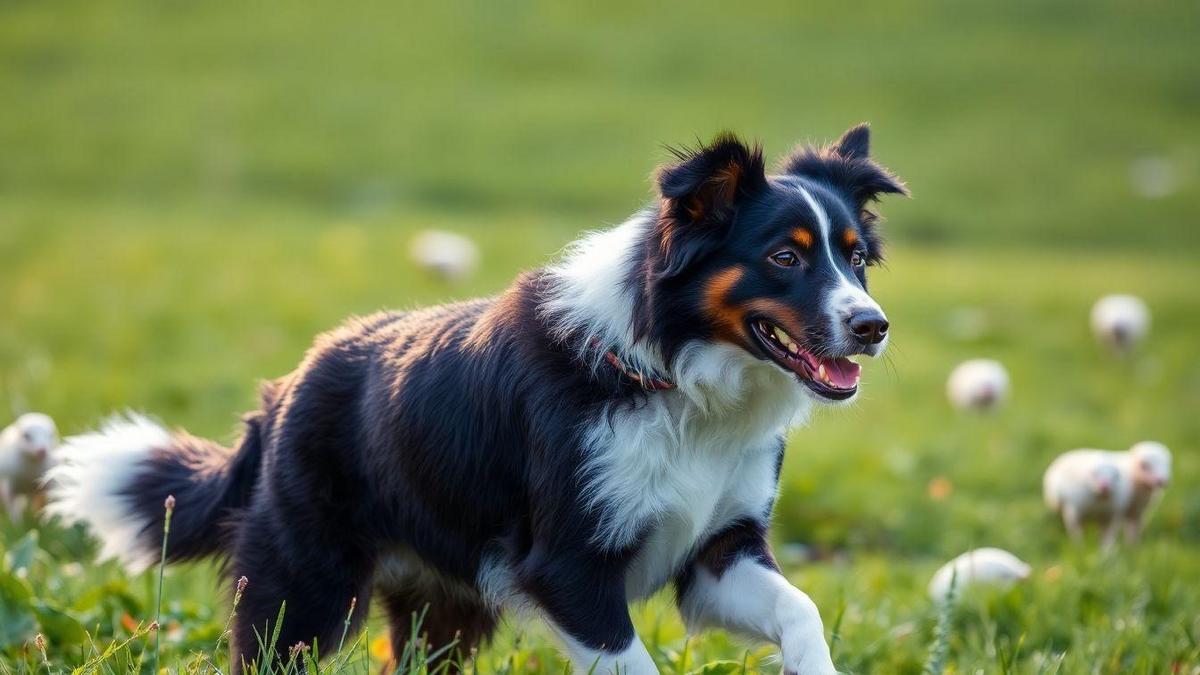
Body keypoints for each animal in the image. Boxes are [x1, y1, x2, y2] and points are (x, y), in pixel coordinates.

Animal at [49, 123, 907, 667]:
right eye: (785, 256)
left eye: (857, 259)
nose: (874, 326)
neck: (681, 380)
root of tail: (282, 390)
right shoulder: (568, 567)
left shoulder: (716, 549)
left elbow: (800, 608)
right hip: (304, 588)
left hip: (443, 607)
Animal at [1041, 441, 1171, 547]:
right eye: (1144, 464)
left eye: (1168, 464)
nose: (1162, 481)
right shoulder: (1075, 514)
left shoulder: (1133, 513)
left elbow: (1129, 533)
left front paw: (1131, 550)